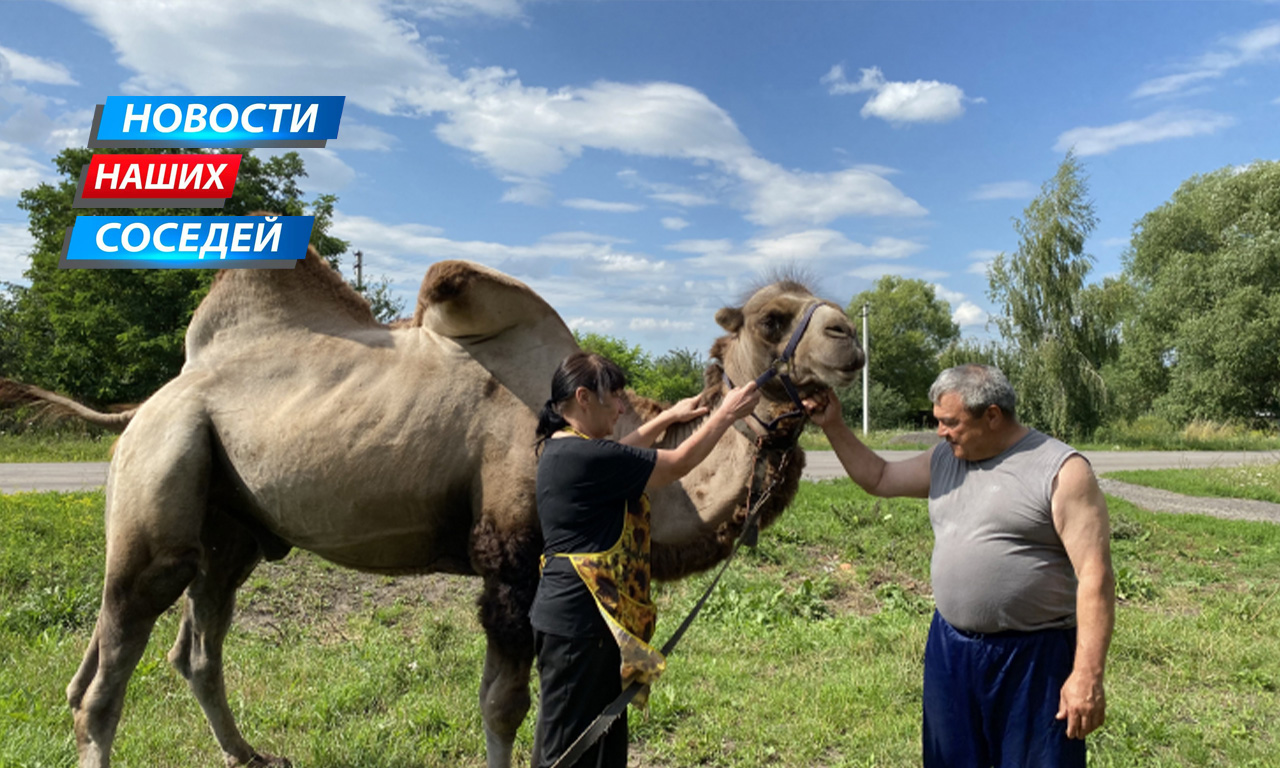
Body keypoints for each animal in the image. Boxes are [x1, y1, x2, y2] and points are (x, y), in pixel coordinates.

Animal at [2, 247, 860, 768]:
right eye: (772, 320)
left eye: (826, 307)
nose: (850, 339)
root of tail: (149, 402)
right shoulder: (509, 562)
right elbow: (505, 706)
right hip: (165, 474)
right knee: (115, 662)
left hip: (232, 526)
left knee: (186, 644)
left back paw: (250, 754)